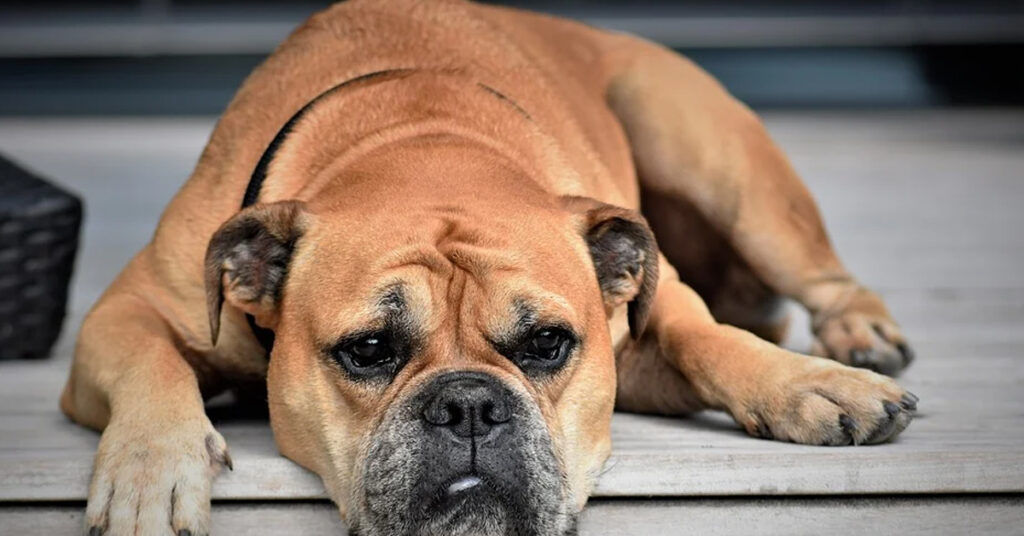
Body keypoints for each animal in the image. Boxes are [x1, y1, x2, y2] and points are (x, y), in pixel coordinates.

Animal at [59, 2, 917, 532]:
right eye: (369, 350)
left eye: (547, 345)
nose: (469, 405)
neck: (420, 139)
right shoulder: (124, 312)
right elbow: (150, 364)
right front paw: (149, 474)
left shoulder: (649, 315)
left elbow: (708, 338)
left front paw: (810, 385)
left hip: (720, 163)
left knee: (817, 276)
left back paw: (858, 337)